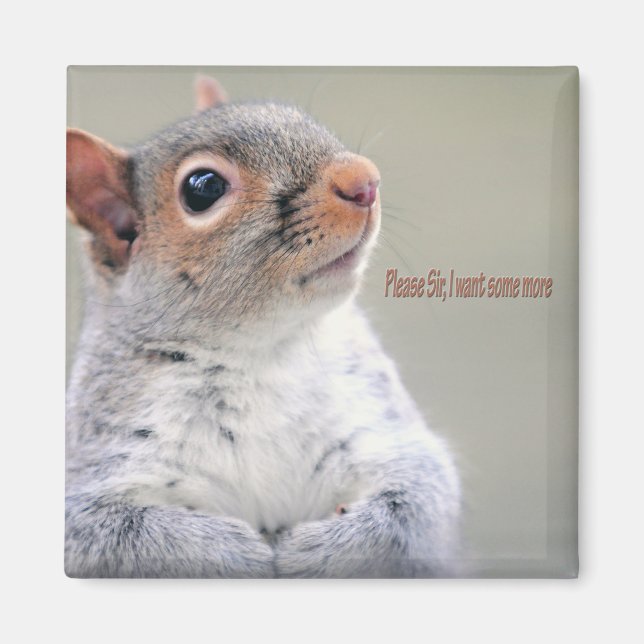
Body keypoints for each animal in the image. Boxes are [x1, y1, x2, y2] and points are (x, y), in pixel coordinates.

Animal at [65, 75, 461, 578]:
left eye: (299, 117)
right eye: (202, 188)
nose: (364, 180)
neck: (260, 350)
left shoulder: (382, 429)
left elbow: (418, 500)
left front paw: (319, 551)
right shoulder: (98, 470)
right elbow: (113, 536)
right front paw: (231, 553)